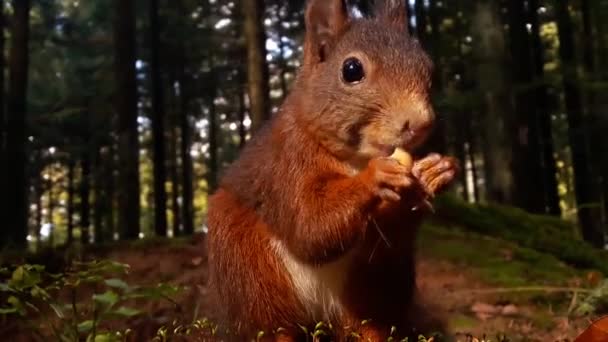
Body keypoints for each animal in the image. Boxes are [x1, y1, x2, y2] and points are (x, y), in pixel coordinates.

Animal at [207, 0, 458, 340]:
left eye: (428, 68)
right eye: (351, 70)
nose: (421, 123)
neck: (355, 160)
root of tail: (320, 319)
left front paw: (437, 171)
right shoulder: (285, 162)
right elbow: (308, 224)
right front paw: (374, 178)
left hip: (375, 283)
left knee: (372, 321)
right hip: (247, 268)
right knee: (272, 324)